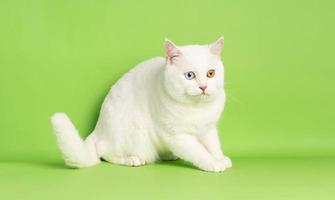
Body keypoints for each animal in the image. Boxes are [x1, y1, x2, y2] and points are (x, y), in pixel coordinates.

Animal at [51, 37, 232, 172]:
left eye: (211, 73)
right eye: (189, 75)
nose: (203, 87)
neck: (197, 108)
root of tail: (98, 129)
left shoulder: (208, 129)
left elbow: (213, 145)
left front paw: (220, 158)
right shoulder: (176, 135)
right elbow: (199, 151)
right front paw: (213, 163)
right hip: (131, 134)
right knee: (106, 153)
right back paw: (131, 159)